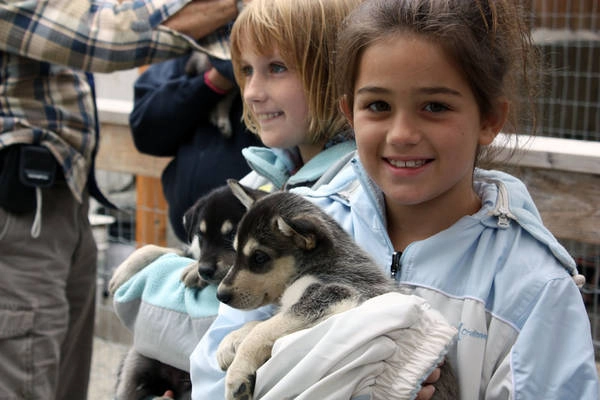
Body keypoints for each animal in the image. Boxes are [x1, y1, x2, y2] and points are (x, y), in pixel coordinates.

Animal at [216, 180, 460, 400]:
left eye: (259, 258)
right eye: (236, 252)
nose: (220, 295)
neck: (320, 263)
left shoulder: (338, 294)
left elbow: (263, 329)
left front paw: (237, 373)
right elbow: (260, 323)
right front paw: (230, 341)